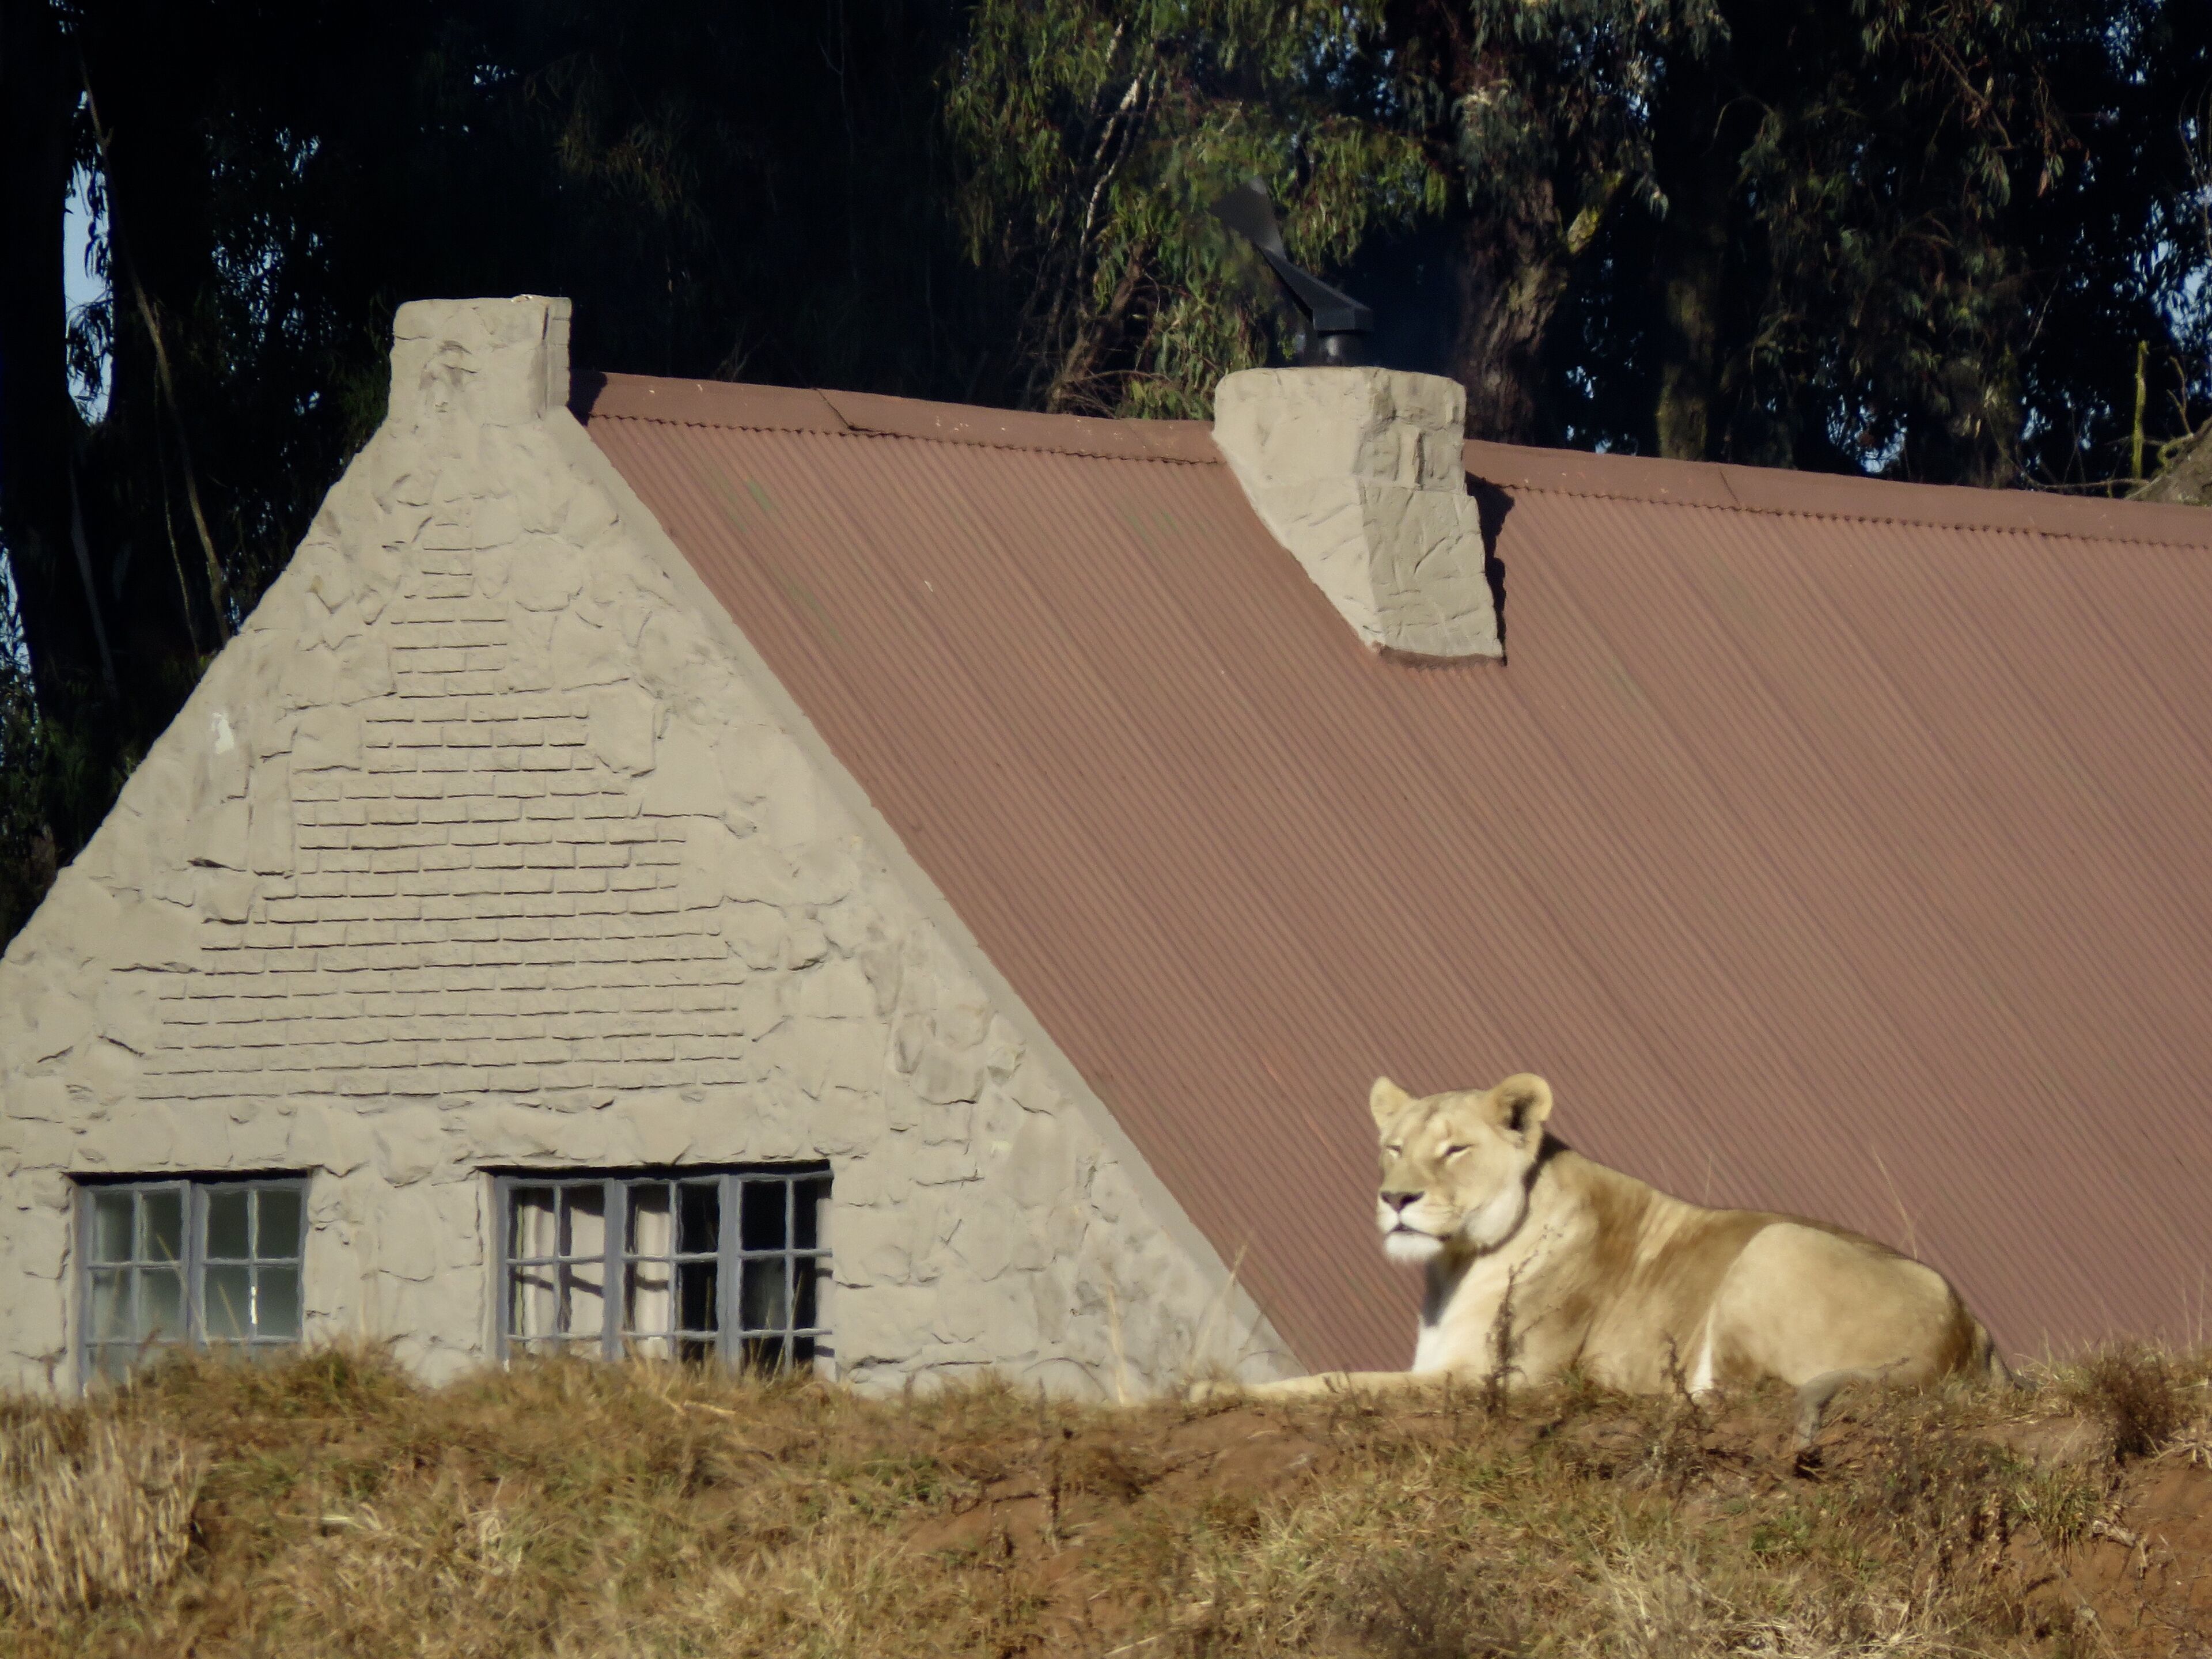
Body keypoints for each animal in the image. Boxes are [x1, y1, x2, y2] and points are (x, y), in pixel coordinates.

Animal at [1216, 1074, 2007, 1439]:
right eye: (1393, 1146)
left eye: (1456, 1149)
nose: (1396, 1198)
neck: (1457, 1262)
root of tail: (1969, 1339)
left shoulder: (1500, 1380)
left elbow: (1336, 1382)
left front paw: (1214, 1392)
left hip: (1774, 1242)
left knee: (1732, 1393)